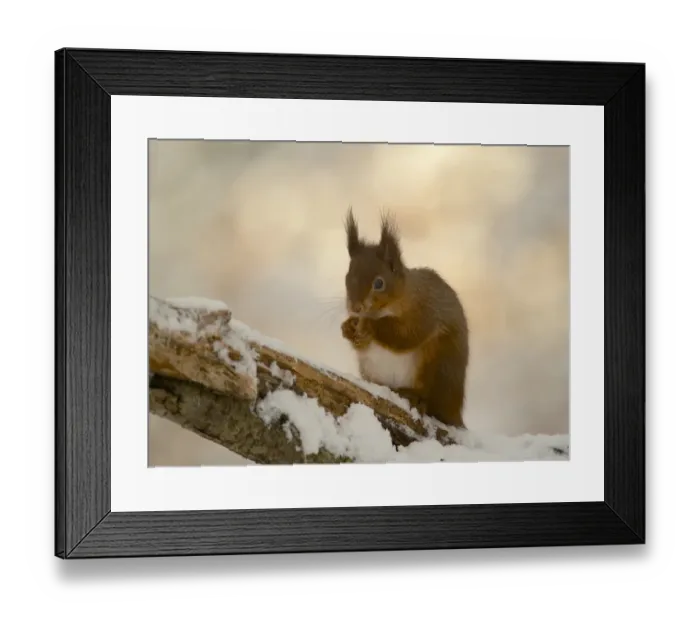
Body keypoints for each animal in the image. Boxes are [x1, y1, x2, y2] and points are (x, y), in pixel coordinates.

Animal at [340, 207, 469, 429]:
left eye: (379, 283)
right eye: (347, 278)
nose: (355, 308)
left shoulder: (424, 311)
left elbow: (405, 336)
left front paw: (370, 326)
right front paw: (348, 328)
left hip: (439, 366)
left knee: (432, 403)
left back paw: (414, 397)